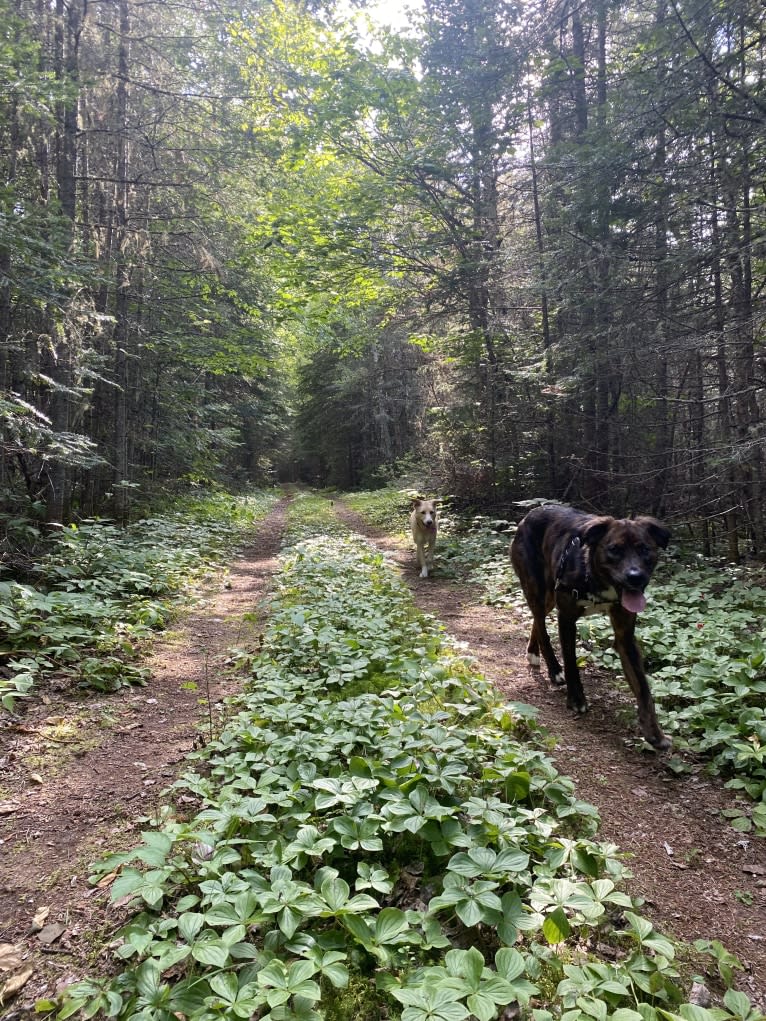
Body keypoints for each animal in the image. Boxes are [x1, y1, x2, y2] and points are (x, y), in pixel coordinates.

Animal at [516, 504, 669, 751]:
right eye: (614, 549)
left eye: (645, 549)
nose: (635, 577)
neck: (596, 578)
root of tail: (529, 515)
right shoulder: (566, 618)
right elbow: (571, 662)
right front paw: (576, 699)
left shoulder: (625, 634)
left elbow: (643, 689)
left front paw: (654, 732)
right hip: (538, 589)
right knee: (540, 623)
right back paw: (553, 669)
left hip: (549, 596)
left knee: (536, 621)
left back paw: (533, 652)